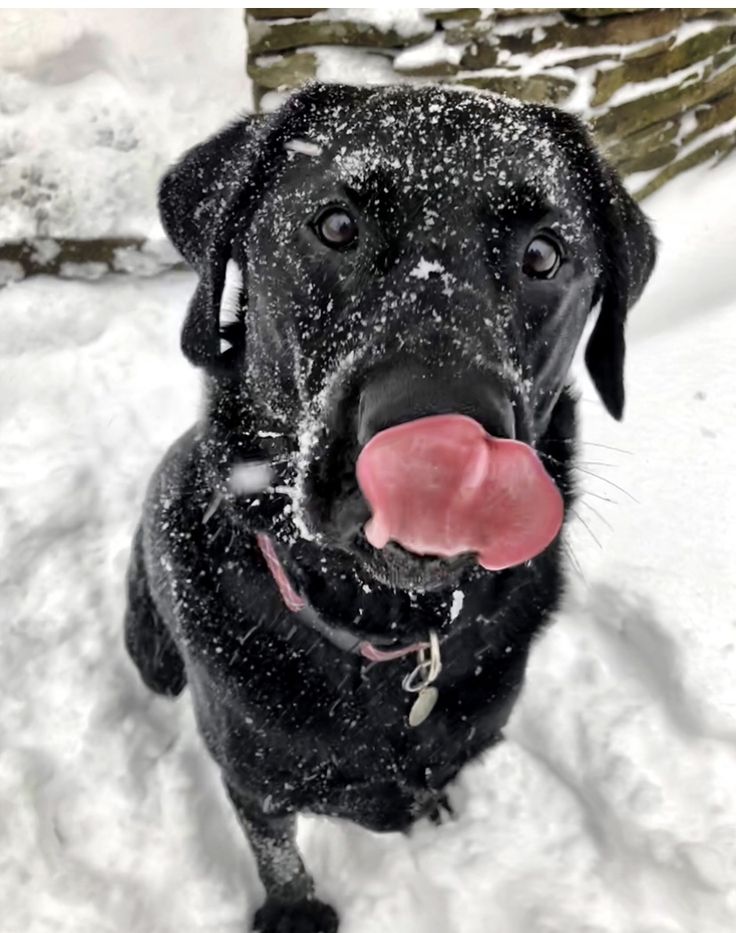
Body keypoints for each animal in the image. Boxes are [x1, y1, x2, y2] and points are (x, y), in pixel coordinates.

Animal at [125, 82, 656, 932]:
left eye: (544, 254)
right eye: (337, 225)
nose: (446, 456)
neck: (386, 631)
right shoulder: (254, 778)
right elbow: (275, 846)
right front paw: (296, 910)